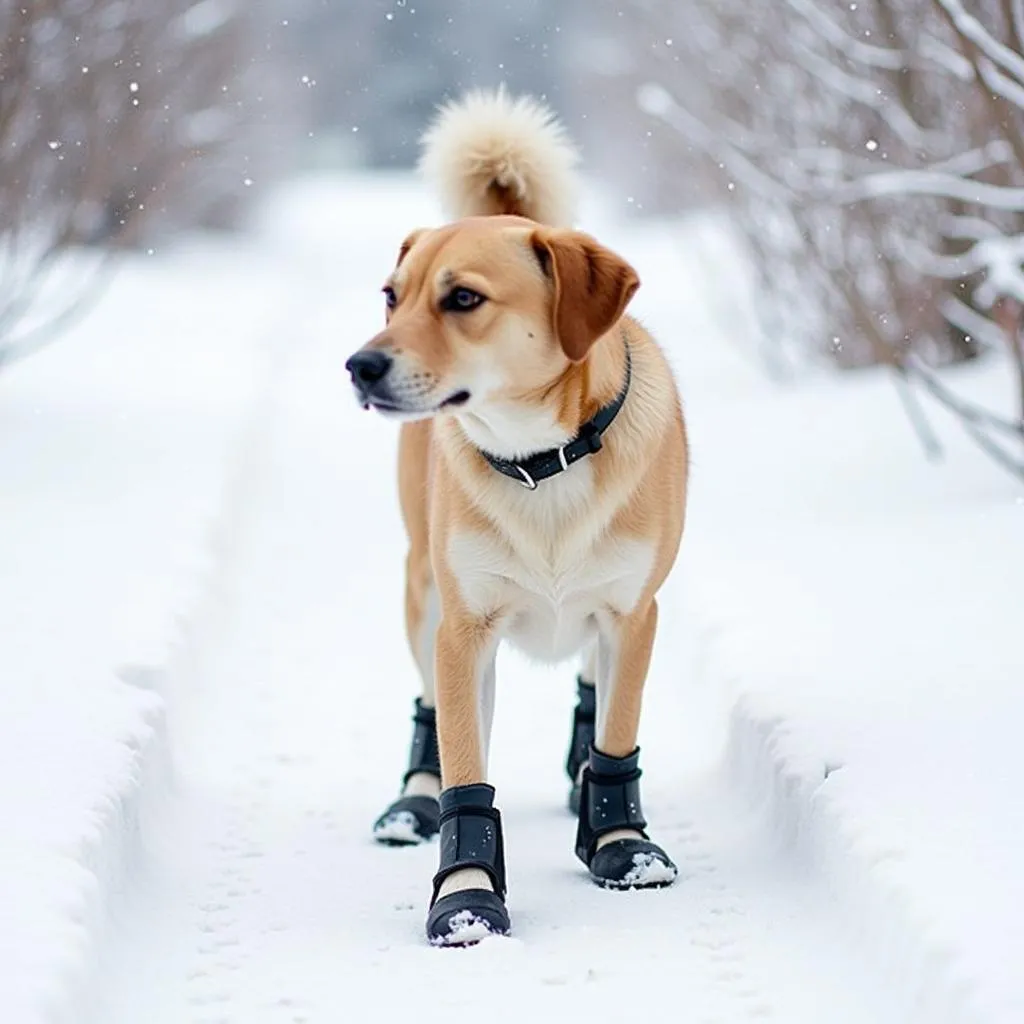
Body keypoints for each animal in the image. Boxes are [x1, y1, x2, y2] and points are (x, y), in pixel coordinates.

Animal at [344, 88, 688, 942]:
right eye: (392, 296)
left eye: (462, 298)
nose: (360, 364)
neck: (543, 461)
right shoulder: (464, 628)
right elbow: (468, 764)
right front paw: (466, 893)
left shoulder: (634, 613)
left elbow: (617, 730)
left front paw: (619, 839)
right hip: (422, 591)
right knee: (433, 709)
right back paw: (414, 797)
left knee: (592, 690)